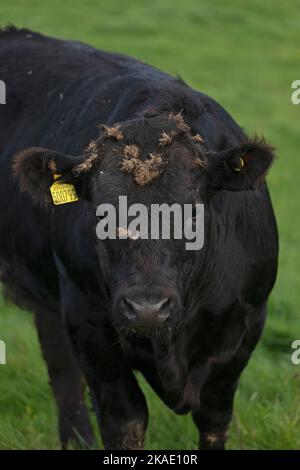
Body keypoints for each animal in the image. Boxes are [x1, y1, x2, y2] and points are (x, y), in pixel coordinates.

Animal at [0, 26, 278, 452]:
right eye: (100, 213)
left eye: (193, 212)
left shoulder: (245, 325)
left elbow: (214, 419)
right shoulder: (88, 322)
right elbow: (126, 420)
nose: (147, 308)